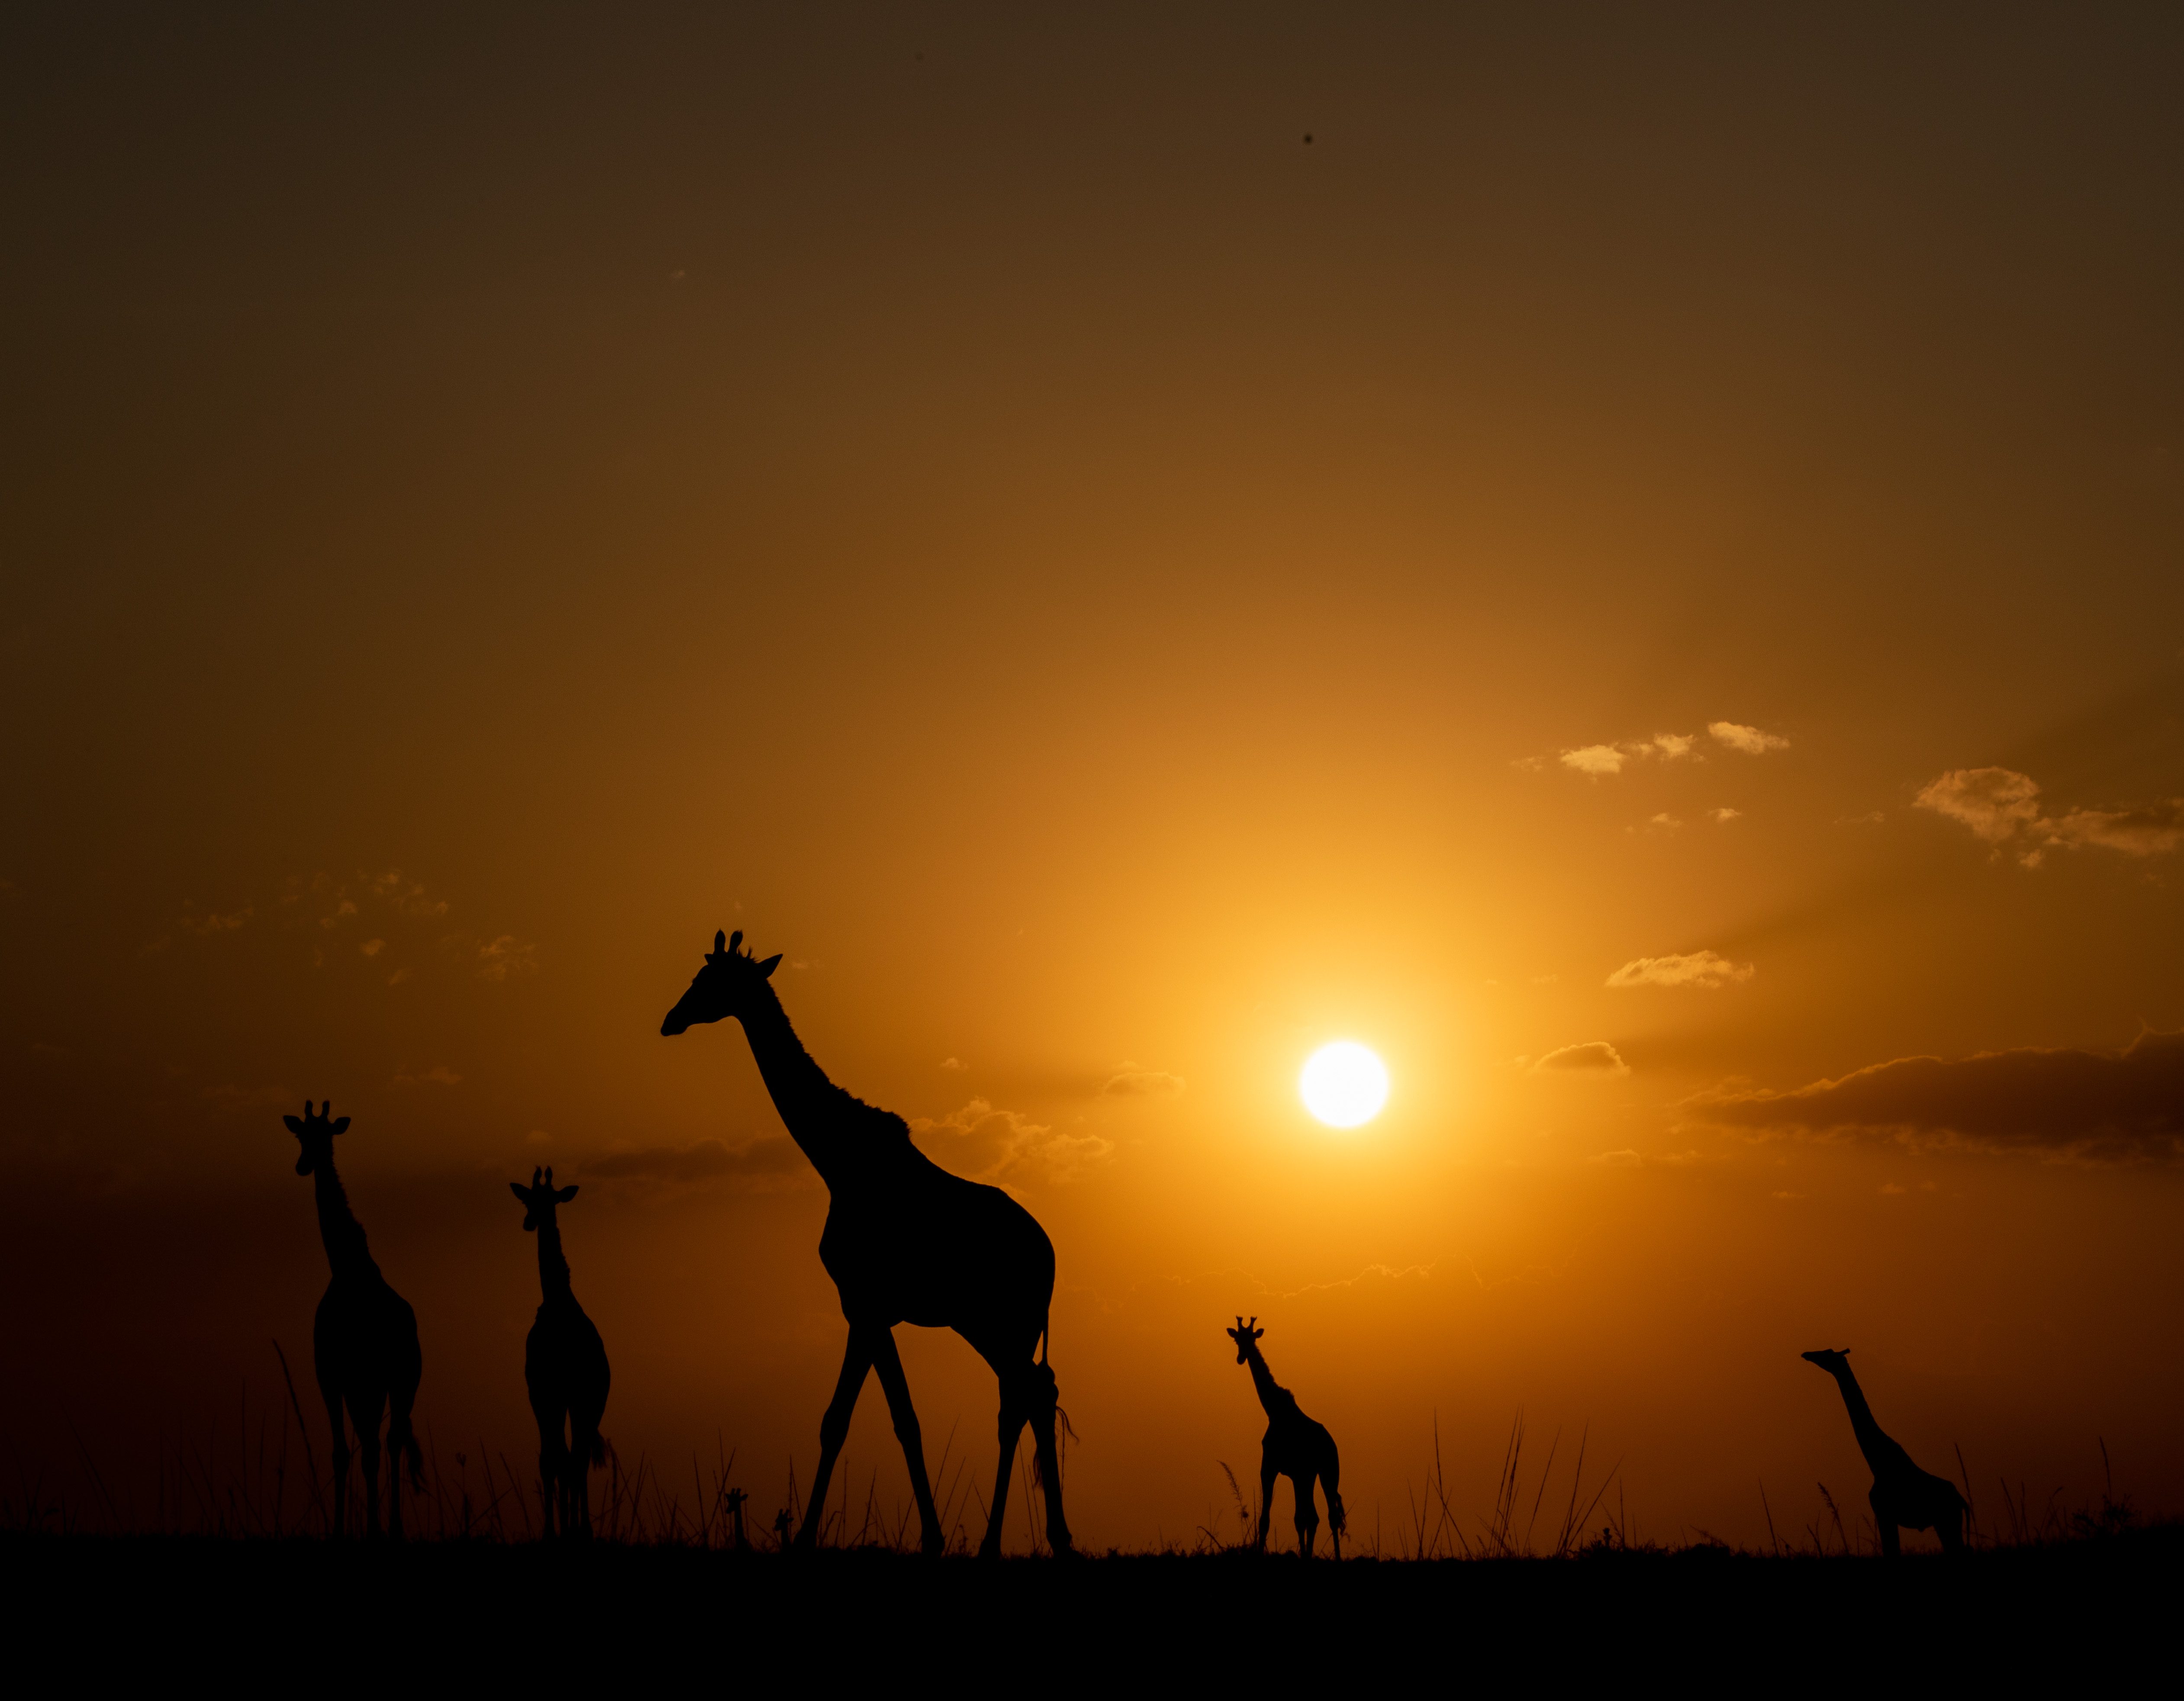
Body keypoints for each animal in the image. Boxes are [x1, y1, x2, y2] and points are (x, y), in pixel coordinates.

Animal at [284, 1100, 422, 1537]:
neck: (346, 1267)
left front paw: (353, 1528)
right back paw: (384, 1525)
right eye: (300, 1134)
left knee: (384, 1442)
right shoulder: (342, 1377)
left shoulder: (336, 1374)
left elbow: (352, 1452)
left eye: (325, 1135)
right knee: (381, 1442)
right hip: (381, 1384)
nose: (304, 1165)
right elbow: (349, 1451)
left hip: (393, 1380)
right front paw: (347, 1526)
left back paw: (387, 1525)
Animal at [510, 1166, 611, 1539]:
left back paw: (575, 1528)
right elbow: (557, 1458)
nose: (529, 1222)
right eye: (528, 1199)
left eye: (548, 1200)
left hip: (579, 1398)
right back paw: (579, 1528)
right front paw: (560, 1528)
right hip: (586, 1397)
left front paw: (554, 1530)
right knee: (574, 1456)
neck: (558, 1300)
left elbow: (552, 1459)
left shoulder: (541, 1391)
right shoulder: (553, 1393)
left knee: (570, 1457)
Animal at [661, 929, 1074, 1558]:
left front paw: (920, 1538)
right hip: (989, 1324)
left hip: (1004, 1320)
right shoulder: (861, 1309)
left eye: (713, 981)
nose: (671, 1019)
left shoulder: (868, 1304)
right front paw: (817, 1535)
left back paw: (1006, 1542)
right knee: (1029, 1395)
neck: (839, 1161)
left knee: (1023, 1399)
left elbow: (895, 1418)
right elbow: (844, 1419)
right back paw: (1043, 1538)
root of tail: (1048, 1252)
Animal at [1227, 1318, 1345, 1558]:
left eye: (1252, 1339)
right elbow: (1273, 1520)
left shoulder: (1283, 1469)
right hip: (1312, 1475)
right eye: (1237, 1340)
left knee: (1330, 1516)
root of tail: (1332, 1444)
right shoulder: (1280, 1470)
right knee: (1315, 1517)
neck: (1274, 1411)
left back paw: (1336, 1558)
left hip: (1328, 1472)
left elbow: (1287, 1519)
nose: (1241, 1358)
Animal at [1802, 1349, 1967, 1556]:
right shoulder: (1886, 1515)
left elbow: (1891, 1551)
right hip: (1944, 1523)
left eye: (1827, 1354)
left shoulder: (1884, 1513)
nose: (1807, 1354)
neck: (1877, 1463)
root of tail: (1961, 1500)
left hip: (1947, 1520)